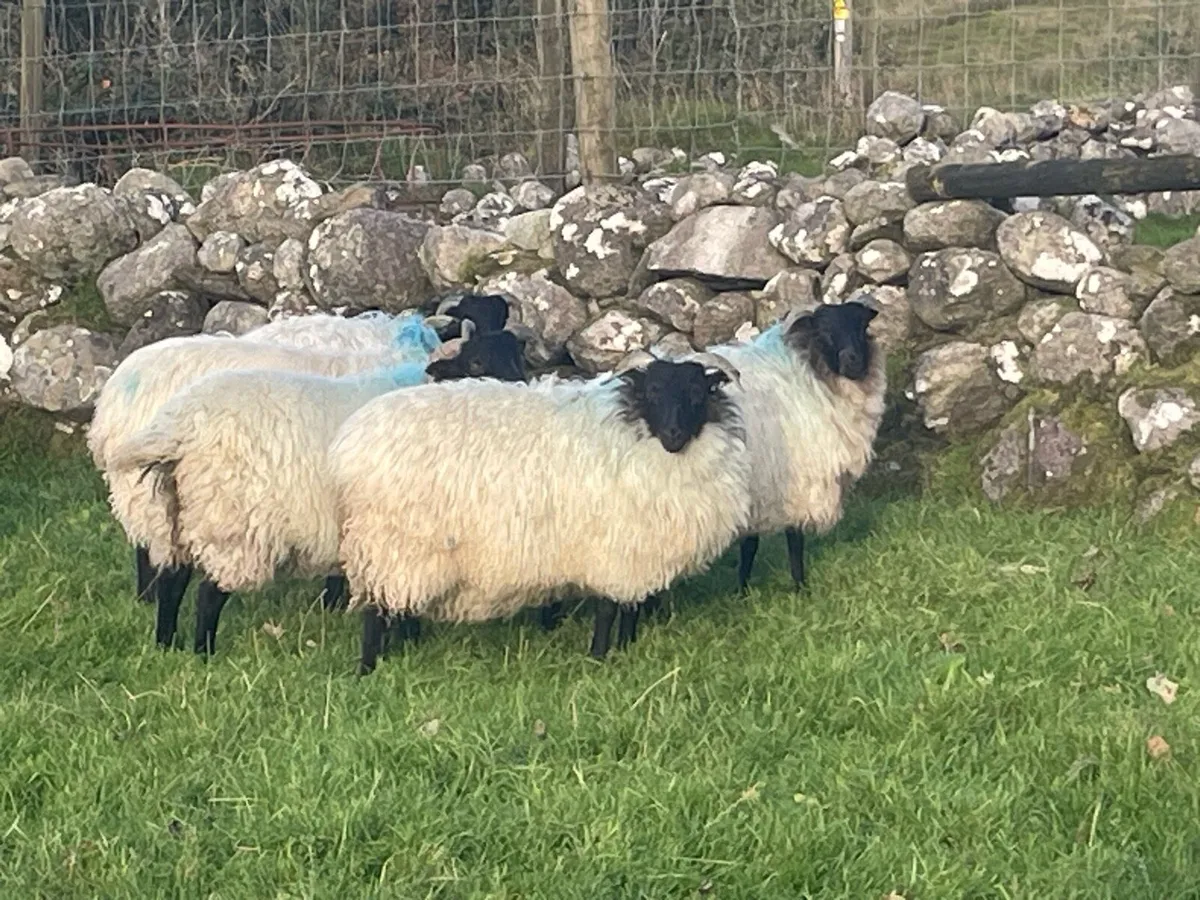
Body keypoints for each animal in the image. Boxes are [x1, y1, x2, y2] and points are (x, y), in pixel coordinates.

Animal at [327, 349, 751, 674]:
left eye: (698, 391)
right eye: (653, 390)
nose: (674, 435)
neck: (633, 436)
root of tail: (351, 441)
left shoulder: (639, 552)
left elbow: (630, 607)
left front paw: (628, 646)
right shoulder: (613, 546)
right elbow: (607, 610)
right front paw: (599, 657)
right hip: (392, 541)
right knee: (376, 610)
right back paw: (368, 668)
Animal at [706, 300, 886, 592]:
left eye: (861, 326)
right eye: (824, 332)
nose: (854, 361)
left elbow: (753, 544)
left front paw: (744, 589)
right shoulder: (792, 481)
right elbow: (787, 540)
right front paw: (796, 586)